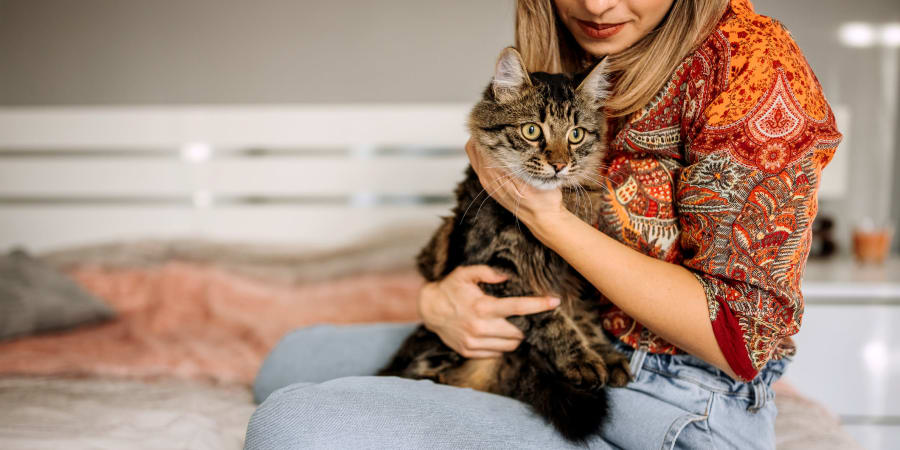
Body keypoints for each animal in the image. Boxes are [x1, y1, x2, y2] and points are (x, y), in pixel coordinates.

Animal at [376, 47, 628, 442]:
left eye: (575, 134)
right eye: (532, 130)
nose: (559, 164)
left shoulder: (577, 271)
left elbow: (585, 315)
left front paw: (606, 354)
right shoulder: (501, 271)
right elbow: (551, 318)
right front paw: (582, 360)